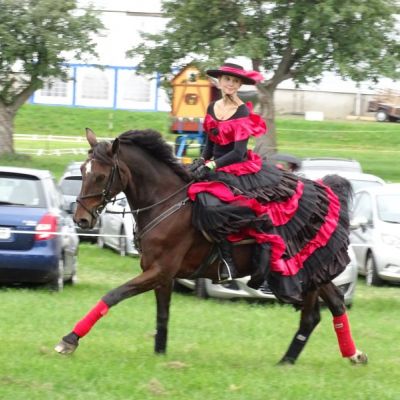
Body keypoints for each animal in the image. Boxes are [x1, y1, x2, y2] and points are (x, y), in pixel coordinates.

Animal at [55, 128, 367, 365]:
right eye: (82, 170)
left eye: (100, 175)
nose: (81, 219)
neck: (166, 203)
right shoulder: (162, 275)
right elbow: (163, 314)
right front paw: (160, 354)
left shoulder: (158, 271)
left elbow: (113, 295)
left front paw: (69, 340)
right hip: (317, 272)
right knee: (335, 304)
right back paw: (351, 355)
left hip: (306, 272)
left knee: (311, 316)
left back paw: (288, 361)